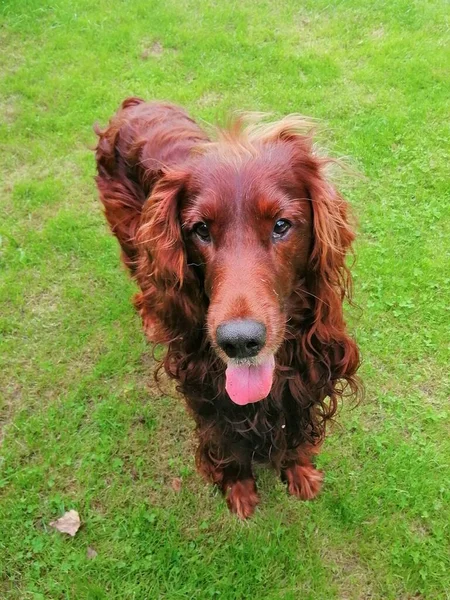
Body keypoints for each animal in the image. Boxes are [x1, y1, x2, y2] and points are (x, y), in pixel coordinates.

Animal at [95, 96, 362, 516]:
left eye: (281, 225)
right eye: (201, 229)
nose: (239, 342)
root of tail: (134, 103)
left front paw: (298, 469)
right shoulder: (203, 384)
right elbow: (224, 439)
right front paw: (239, 488)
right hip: (130, 233)